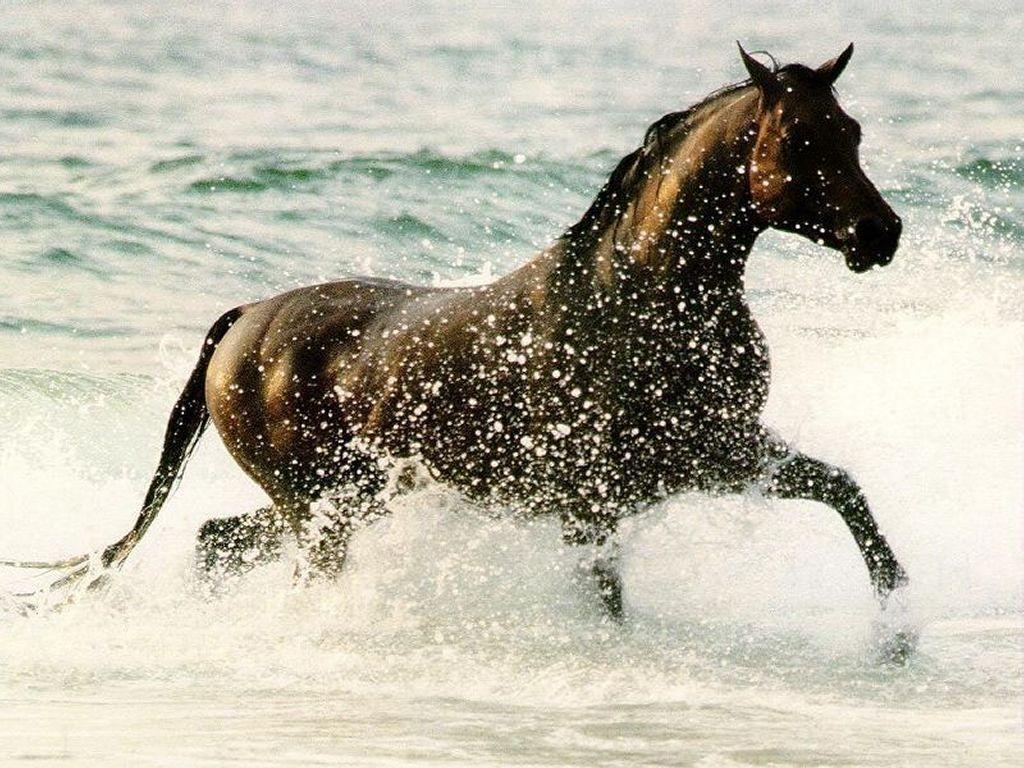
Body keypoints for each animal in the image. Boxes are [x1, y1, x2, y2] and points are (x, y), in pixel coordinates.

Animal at [8, 44, 907, 625]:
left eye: (853, 133)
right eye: (798, 139)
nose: (881, 233)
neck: (641, 300)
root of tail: (243, 323)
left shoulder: (718, 454)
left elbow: (845, 492)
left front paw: (899, 621)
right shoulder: (596, 501)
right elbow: (608, 597)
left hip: (343, 499)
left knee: (215, 541)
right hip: (321, 508)